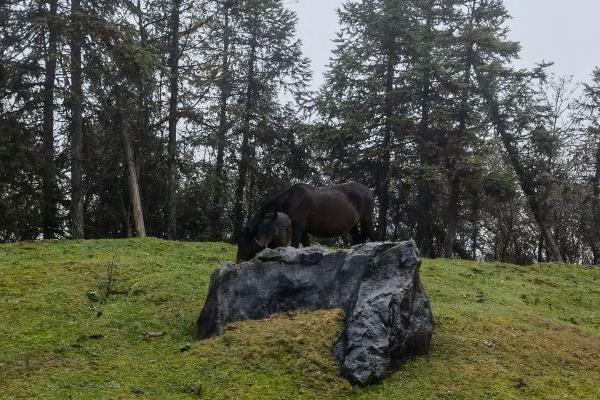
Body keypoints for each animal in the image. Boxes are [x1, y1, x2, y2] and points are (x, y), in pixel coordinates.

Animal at [236, 183, 372, 264]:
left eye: (242, 242)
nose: (238, 261)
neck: (290, 199)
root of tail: (368, 190)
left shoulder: (297, 228)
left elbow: (294, 246)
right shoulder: (304, 231)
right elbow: (306, 246)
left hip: (366, 220)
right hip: (353, 227)